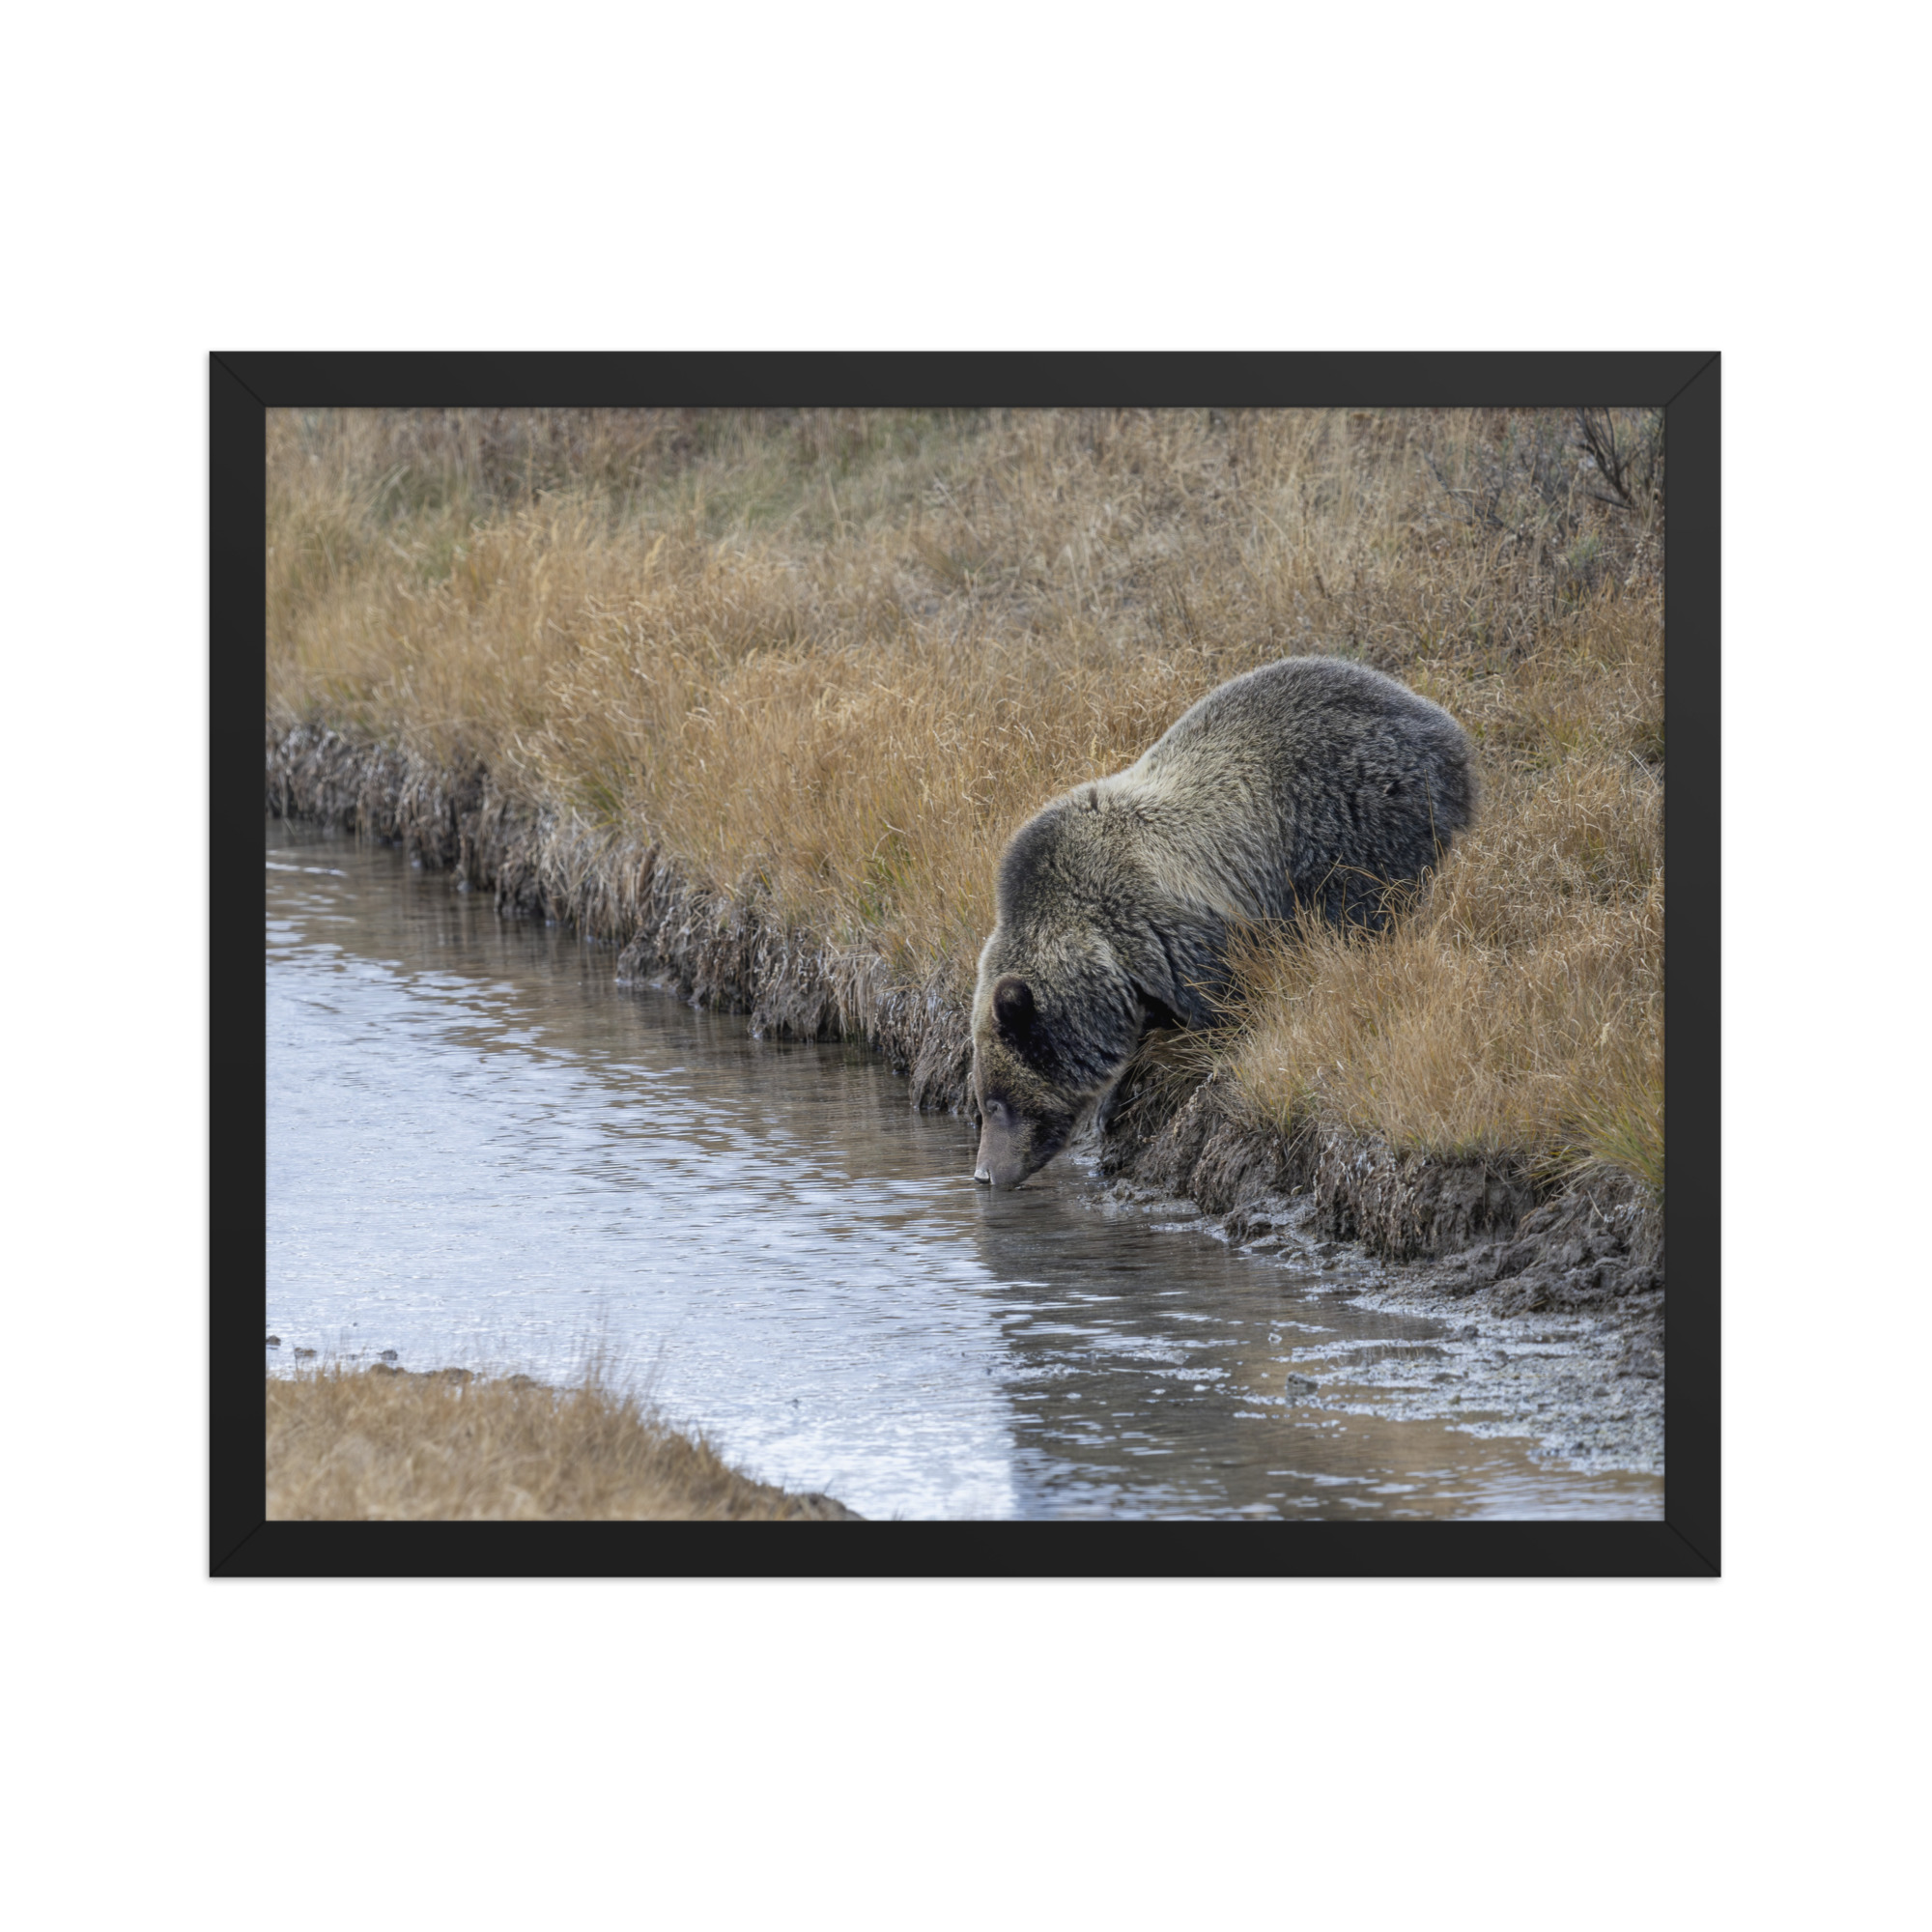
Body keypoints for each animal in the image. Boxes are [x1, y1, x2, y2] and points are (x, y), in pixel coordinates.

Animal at [970, 655, 1475, 1189]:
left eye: (996, 1103)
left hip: (1353, 815)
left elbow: (1223, 1002)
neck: (1102, 952)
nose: (983, 1173)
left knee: (1361, 909)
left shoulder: (1169, 930)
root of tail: (1442, 724)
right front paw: (1114, 1100)